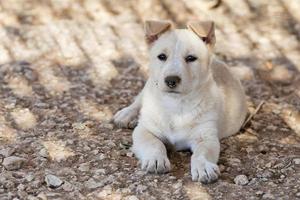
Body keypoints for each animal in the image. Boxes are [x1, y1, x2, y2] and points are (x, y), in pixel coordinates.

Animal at [112, 19, 246, 183]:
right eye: (162, 56)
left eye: (191, 58)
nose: (171, 80)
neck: (176, 104)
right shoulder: (144, 130)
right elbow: (154, 144)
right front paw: (155, 159)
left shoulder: (206, 137)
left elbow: (202, 153)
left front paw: (203, 167)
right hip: (149, 84)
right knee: (139, 100)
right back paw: (126, 114)